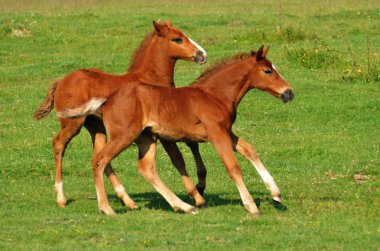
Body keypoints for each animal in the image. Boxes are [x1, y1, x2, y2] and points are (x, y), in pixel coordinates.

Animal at [33, 20, 208, 210]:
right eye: (177, 39)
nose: (202, 54)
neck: (150, 78)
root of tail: (61, 81)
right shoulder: (162, 130)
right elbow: (178, 158)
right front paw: (197, 197)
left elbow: (191, 145)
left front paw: (200, 186)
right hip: (73, 124)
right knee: (59, 145)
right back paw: (61, 197)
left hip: (97, 127)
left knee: (100, 157)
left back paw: (127, 200)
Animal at [61, 45, 294, 216]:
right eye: (267, 71)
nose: (289, 93)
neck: (214, 95)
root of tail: (107, 100)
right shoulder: (216, 134)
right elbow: (233, 167)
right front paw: (251, 206)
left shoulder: (226, 132)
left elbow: (250, 151)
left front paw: (276, 193)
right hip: (124, 136)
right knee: (99, 160)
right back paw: (106, 208)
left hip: (146, 138)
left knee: (146, 169)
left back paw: (183, 206)